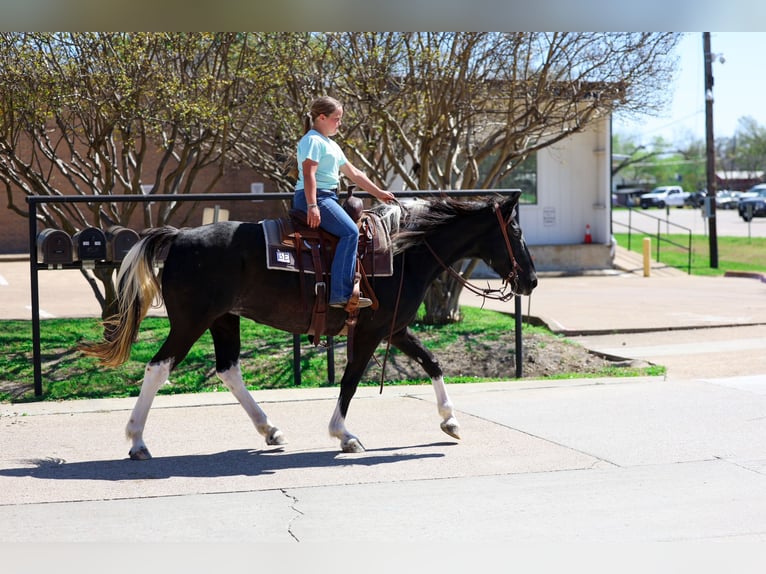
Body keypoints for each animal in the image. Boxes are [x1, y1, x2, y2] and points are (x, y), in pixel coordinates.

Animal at [80, 193, 537, 458]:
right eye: (515, 231)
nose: (532, 280)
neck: (402, 251)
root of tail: (178, 237)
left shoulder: (393, 328)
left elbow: (432, 363)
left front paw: (450, 420)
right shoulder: (370, 332)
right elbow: (351, 380)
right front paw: (343, 434)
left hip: (223, 320)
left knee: (229, 370)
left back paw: (270, 430)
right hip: (190, 322)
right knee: (158, 368)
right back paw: (137, 440)